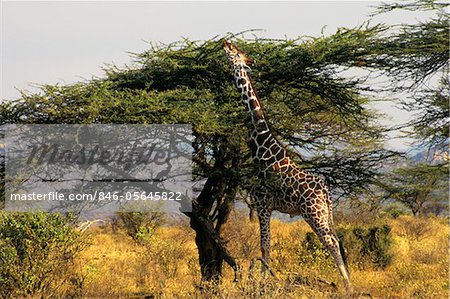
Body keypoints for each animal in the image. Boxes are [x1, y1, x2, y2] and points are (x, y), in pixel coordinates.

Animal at [223, 39, 354, 292]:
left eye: (236, 52)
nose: (224, 42)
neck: (264, 148)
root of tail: (326, 190)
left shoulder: (262, 204)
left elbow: (265, 244)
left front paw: (263, 281)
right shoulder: (265, 206)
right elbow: (265, 244)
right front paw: (264, 279)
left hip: (313, 213)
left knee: (331, 241)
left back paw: (348, 286)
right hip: (323, 212)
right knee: (336, 238)